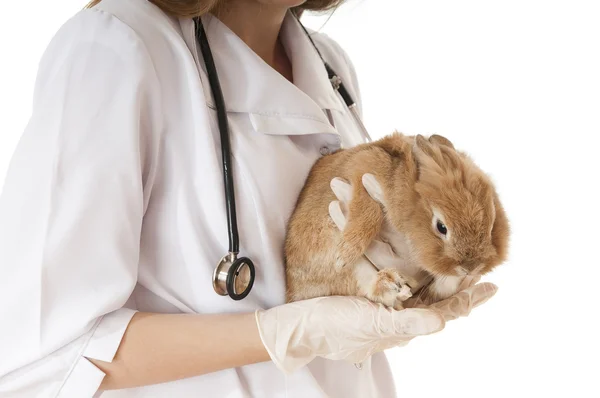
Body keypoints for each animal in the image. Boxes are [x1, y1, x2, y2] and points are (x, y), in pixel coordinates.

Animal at [284, 132, 508, 310]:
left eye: (491, 223)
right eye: (441, 227)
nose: (471, 268)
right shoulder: (362, 168)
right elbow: (368, 209)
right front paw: (345, 253)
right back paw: (391, 284)